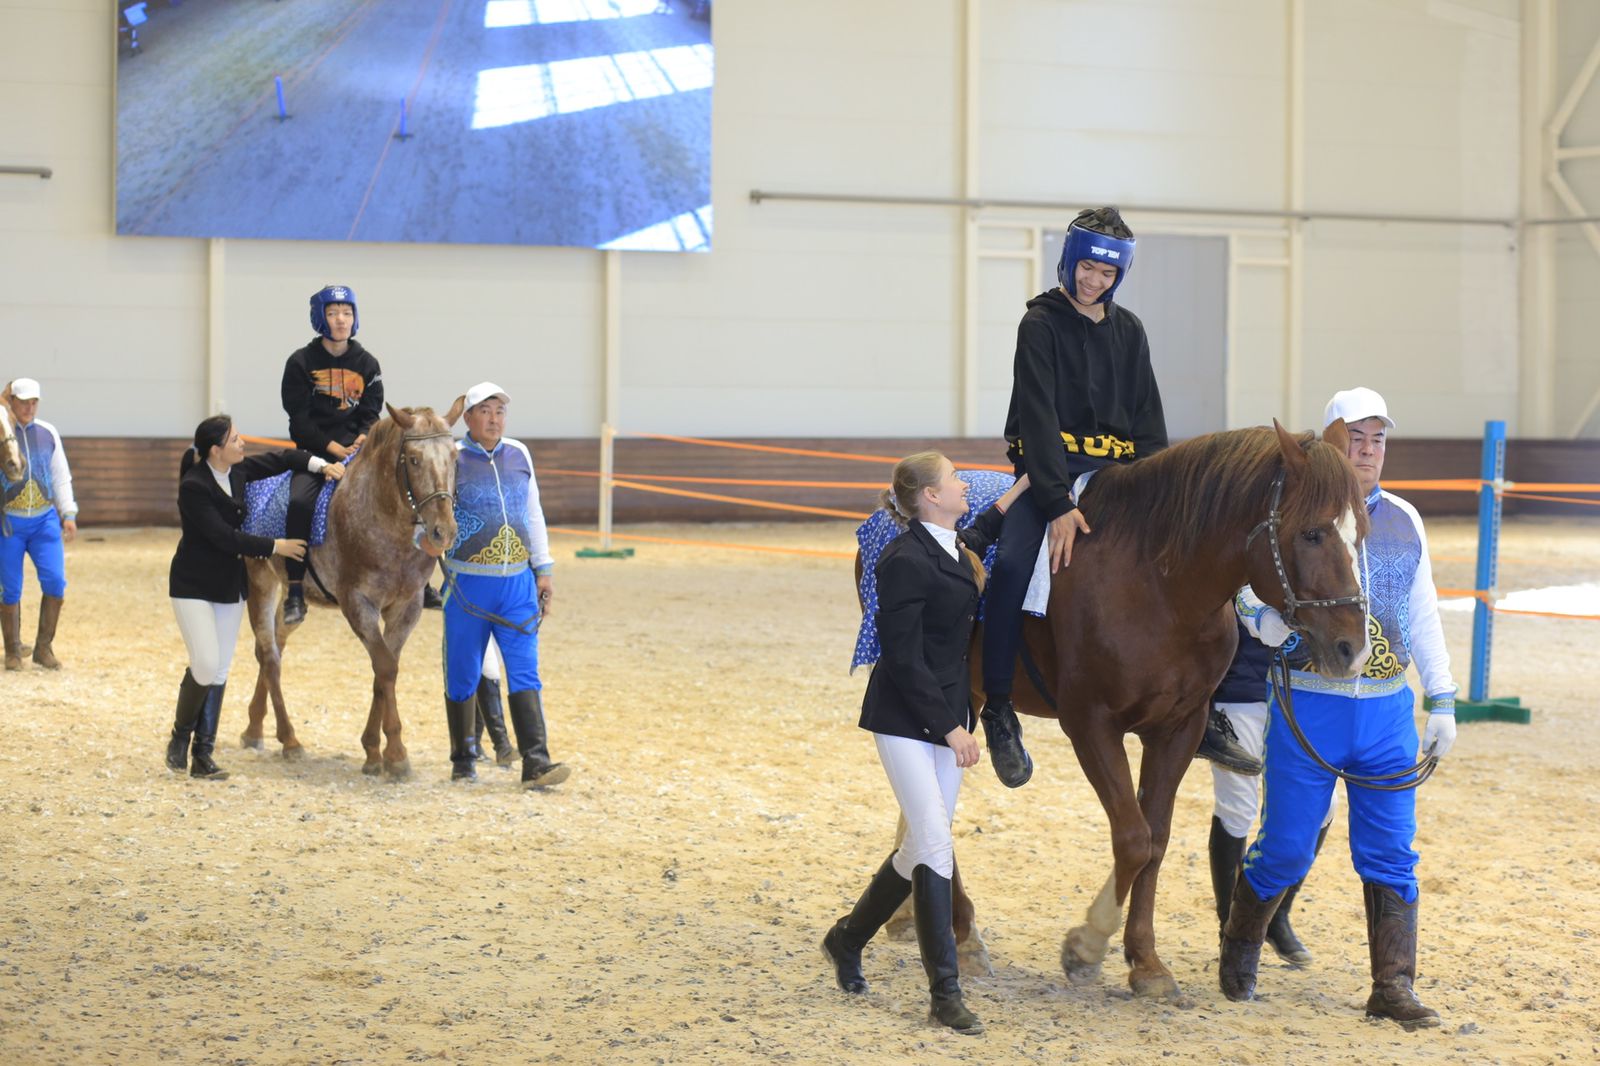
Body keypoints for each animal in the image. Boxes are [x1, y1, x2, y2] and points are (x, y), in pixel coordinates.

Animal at [236, 398, 467, 771]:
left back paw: (254, 729)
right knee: (269, 656)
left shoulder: (407, 607)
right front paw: (395, 755)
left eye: (454, 458)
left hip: (289, 595)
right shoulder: (358, 603)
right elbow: (385, 667)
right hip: (260, 579)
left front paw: (374, 751)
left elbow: (385, 669)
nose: (442, 531)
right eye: (414, 459)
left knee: (273, 647)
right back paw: (290, 740)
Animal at [870, 416, 1369, 998]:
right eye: (1311, 533)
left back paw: (910, 915)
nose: (1351, 649)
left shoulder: (1177, 729)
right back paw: (965, 933)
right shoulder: (1091, 725)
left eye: (1361, 531)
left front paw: (1146, 963)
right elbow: (1132, 839)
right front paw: (1086, 945)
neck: (1162, 585)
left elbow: (1156, 840)